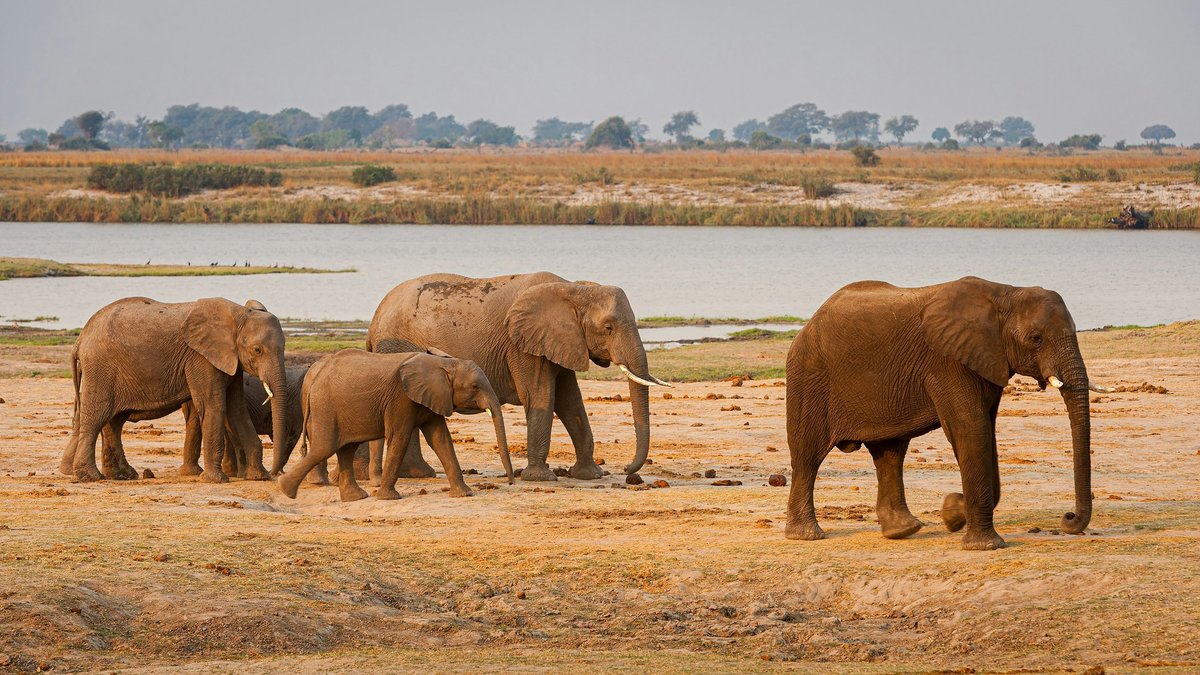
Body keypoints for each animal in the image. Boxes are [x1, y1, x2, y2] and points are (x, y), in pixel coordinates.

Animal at [60, 296, 288, 480]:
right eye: (257, 350)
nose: (275, 474)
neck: (238, 313)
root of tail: (80, 338)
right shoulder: (200, 358)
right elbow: (214, 406)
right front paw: (215, 480)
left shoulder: (230, 361)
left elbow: (237, 410)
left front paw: (259, 477)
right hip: (100, 369)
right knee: (97, 416)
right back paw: (90, 477)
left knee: (114, 422)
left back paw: (122, 475)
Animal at [278, 345, 513, 499]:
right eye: (475, 387)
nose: (511, 482)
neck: (442, 362)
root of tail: (314, 379)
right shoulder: (400, 398)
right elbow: (399, 437)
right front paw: (388, 498)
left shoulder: (431, 397)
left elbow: (440, 439)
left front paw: (464, 494)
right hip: (326, 406)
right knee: (325, 446)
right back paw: (286, 490)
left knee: (345, 448)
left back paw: (356, 497)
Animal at [787, 276, 1104, 550]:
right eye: (1036, 338)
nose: (1068, 517)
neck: (1005, 294)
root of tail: (811, 321)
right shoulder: (947, 362)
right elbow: (971, 428)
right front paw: (984, 545)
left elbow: (986, 430)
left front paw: (952, 512)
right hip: (809, 376)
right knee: (808, 455)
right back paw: (807, 535)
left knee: (890, 453)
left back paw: (903, 530)